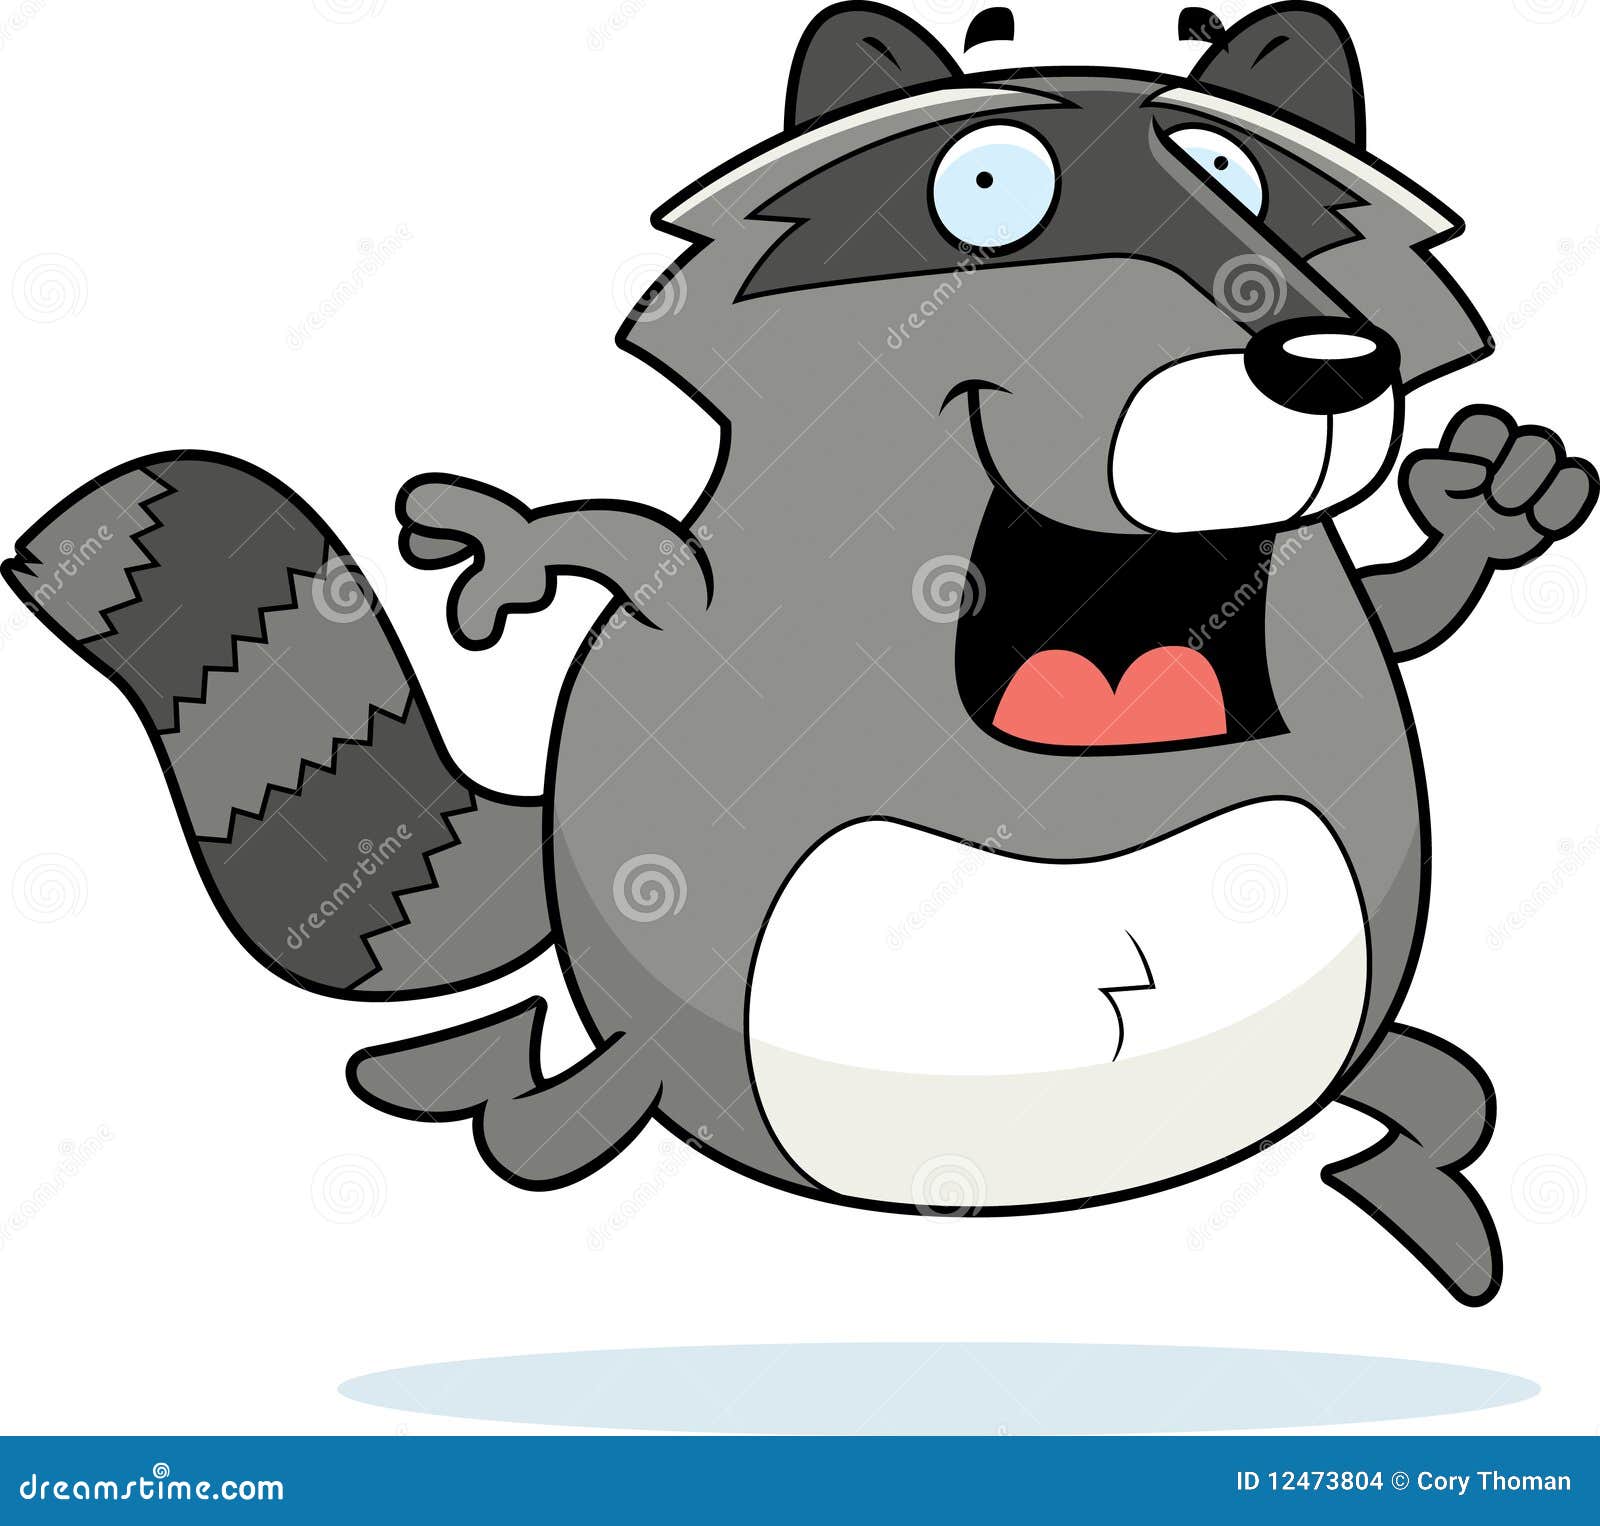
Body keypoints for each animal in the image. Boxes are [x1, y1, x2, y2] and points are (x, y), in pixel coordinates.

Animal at [7, 3, 1593, 1304]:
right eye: (990, 188)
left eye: (1240, 176)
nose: (1323, 365)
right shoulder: (692, 597)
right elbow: (632, 557)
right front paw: (516, 548)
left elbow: (1402, 608)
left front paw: (1495, 503)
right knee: (569, 1105)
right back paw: (509, 1095)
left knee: (1439, 1093)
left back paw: (1423, 1177)